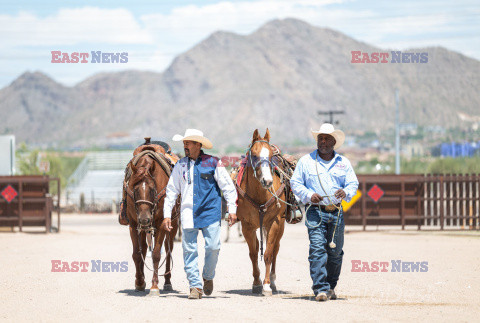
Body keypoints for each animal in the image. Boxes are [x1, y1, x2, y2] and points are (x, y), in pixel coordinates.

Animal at [125, 152, 180, 296]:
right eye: (135, 189)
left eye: (152, 189)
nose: (145, 219)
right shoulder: (134, 225)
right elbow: (137, 254)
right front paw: (139, 282)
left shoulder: (161, 223)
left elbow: (156, 254)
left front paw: (154, 286)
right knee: (144, 248)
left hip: (173, 225)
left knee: (168, 249)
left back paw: (167, 282)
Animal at [235, 129, 286, 296]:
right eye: (255, 155)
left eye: (270, 156)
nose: (267, 181)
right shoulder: (247, 226)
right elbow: (253, 253)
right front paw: (257, 283)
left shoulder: (274, 223)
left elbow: (269, 253)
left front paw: (267, 285)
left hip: (280, 226)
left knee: (275, 249)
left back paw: (273, 282)